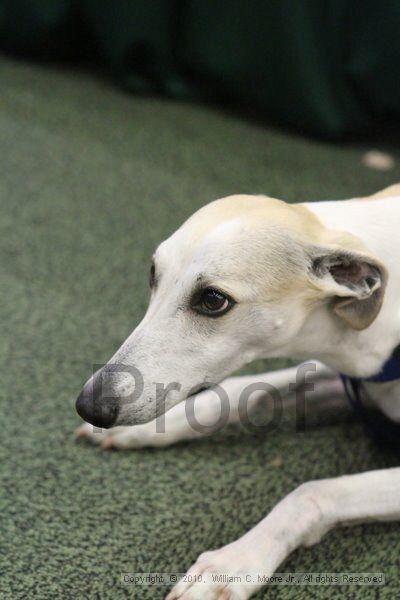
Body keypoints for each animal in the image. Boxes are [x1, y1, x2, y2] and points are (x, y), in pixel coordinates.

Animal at [76, 184, 400, 600]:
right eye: (153, 273)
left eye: (213, 300)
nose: (90, 405)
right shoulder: (344, 372)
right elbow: (245, 391)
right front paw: (153, 427)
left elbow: (312, 493)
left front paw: (230, 565)